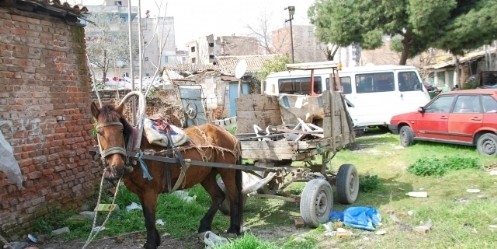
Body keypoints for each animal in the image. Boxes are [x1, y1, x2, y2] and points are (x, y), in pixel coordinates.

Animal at [90, 102, 244, 248]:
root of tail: (228, 134)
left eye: (121, 130)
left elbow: (150, 219)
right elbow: (146, 216)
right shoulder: (140, 193)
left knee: (234, 196)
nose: (117, 167)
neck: (139, 151)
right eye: (99, 132)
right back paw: (204, 226)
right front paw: (154, 240)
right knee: (218, 196)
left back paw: (233, 229)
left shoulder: (150, 192)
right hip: (207, 176)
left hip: (227, 172)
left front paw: (151, 244)